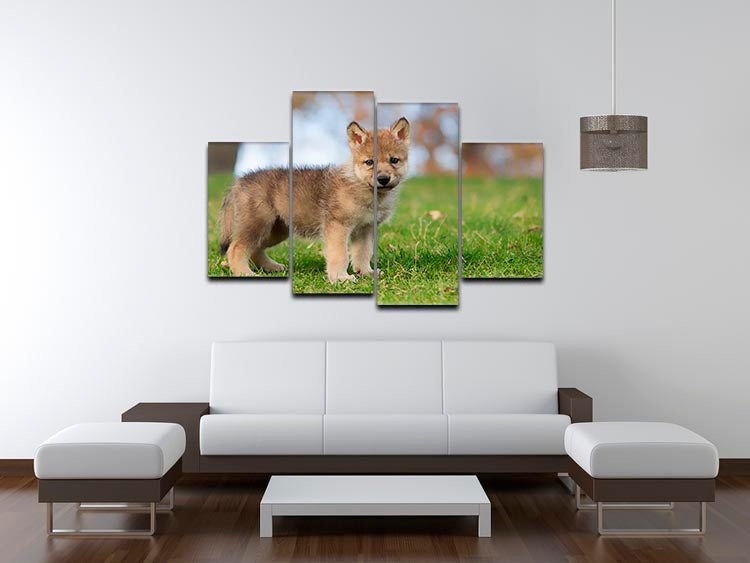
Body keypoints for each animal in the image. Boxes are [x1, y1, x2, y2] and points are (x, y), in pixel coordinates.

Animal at [219, 117, 410, 282]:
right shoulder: (338, 226)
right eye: (369, 162)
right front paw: (341, 278)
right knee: (236, 248)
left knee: (254, 250)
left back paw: (271, 267)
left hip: (275, 230)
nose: (383, 179)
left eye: (394, 160)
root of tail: (239, 182)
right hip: (258, 224)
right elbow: (340, 255)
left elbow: (363, 254)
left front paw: (366, 273)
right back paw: (245, 273)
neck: (360, 185)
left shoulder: (365, 229)